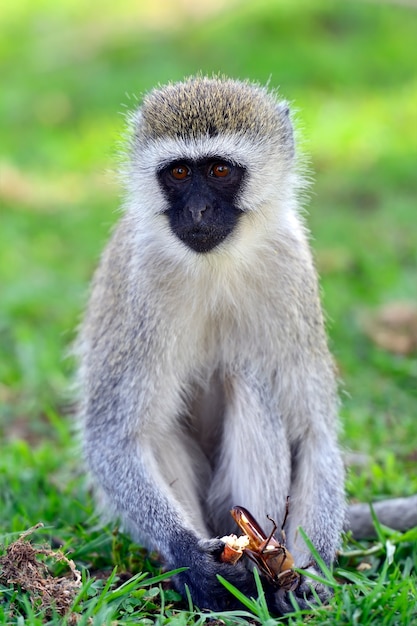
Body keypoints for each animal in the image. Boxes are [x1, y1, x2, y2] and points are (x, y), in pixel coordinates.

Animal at [78, 75, 344, 612]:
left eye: (220, 170)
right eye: (179, 172)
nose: (198, 209)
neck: (214, 265)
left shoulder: (291, 269)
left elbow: (315, 434)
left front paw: (314, 574)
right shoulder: (140, 280)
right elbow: (112, 438)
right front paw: (192, 560)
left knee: (249, 380)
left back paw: (266, 571)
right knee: (152, 425)